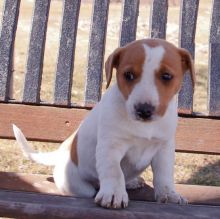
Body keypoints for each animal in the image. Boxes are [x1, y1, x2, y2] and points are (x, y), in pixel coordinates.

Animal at [12, 37, 194, 209]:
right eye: (128, 75)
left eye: (166, 76)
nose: (144, 110)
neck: (144, 127)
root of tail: (62, 151)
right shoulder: (111, 146)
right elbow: (114, 171)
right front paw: (114, 194)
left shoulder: (164, 148)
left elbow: (164, 175)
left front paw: (169, 195)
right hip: (79, 186)